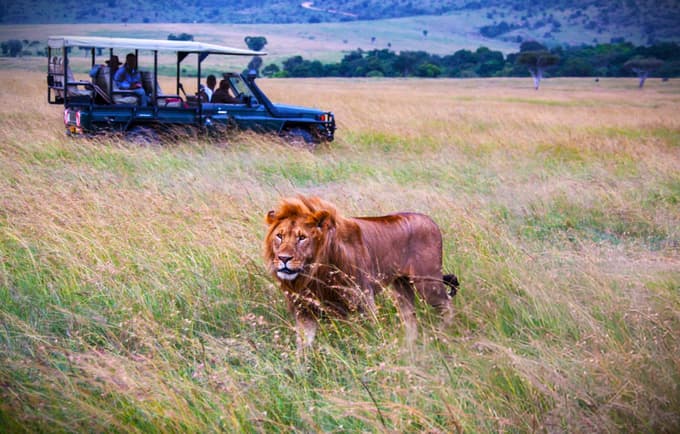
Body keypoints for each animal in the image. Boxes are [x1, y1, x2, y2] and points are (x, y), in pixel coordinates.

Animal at [264, 195, 458, 352]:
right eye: (279, 236)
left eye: (302, 237)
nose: (283, 258)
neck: (315, 274)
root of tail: (431, 220)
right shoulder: (304, 310)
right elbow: (303, 346)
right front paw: (301, 370)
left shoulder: (364, 301)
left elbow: (370, 335)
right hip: (401, 288)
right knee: (410, 319)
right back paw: (409, 347)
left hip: (427, 283)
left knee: (447, 305)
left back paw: (441, 335)